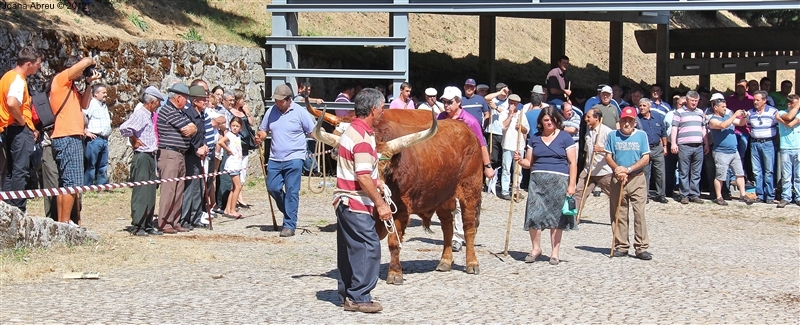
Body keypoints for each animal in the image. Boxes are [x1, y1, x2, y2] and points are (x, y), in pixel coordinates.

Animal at [308, 107, 482, 284]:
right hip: (441, 196)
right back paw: (445, 261)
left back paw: (472, 263)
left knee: (468, 227)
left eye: (386, 169)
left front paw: (395, 273)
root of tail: (468, 131)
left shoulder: (400, 210)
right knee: (447, 225)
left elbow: (393, 242)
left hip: (471, 190)